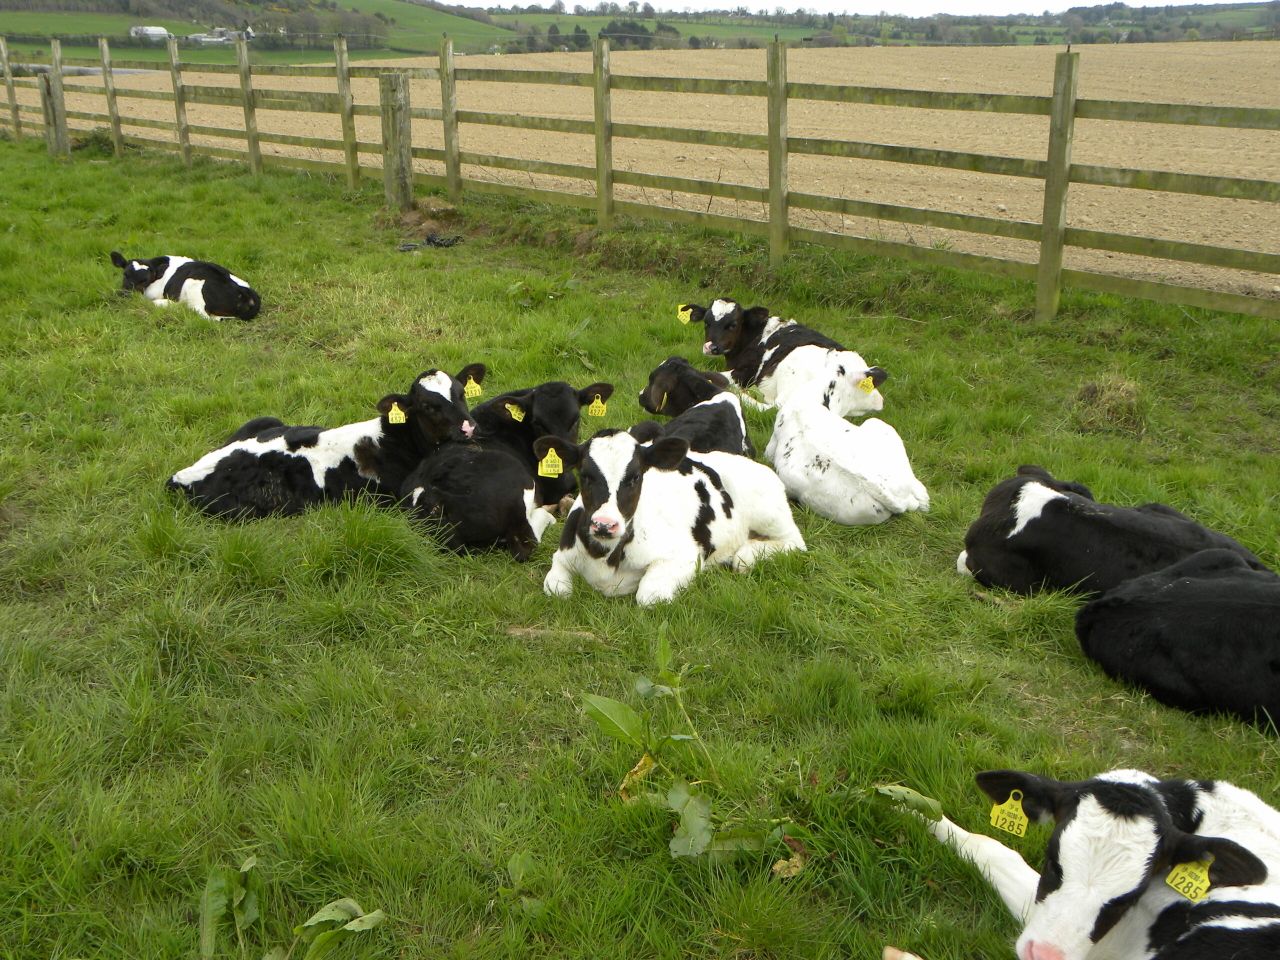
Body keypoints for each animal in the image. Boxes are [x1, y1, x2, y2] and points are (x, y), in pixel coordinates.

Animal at [110, 251, 261, 320]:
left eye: (145, 280)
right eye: (125, 274)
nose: (125, 294)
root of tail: (248, 292)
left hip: (193, 283)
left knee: (200, 314)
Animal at [168, 365, 485, 518]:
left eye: (461, 393)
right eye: (428, 406)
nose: (468, 427)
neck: (396, 441)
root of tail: (181, 475)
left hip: (263, 420)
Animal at [535, 429, 805, 606]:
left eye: (635, 477)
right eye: (585, 475)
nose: (605, 524)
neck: (605, 559)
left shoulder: (684, 556)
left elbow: (649, 596)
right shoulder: (561, 558)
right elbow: (556, 590)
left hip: (768, 511)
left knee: (792, 543)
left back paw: (746, 551)